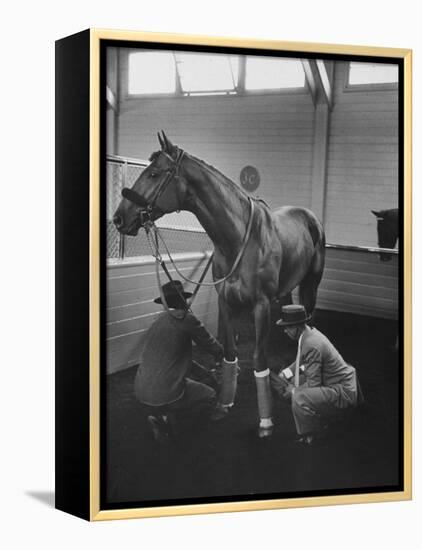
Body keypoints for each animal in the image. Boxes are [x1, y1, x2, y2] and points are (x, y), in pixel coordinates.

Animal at [113, 132, 326, 438]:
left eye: (153, 173)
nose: (119, 218)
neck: (239, 239)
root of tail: (310, 217)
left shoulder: (261, 306)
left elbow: (259, 359)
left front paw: (265, 422)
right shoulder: (225, 302)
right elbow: (229, 353)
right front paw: (223, 404)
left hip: (312, 284)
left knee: (308, 320)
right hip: (287, 290)